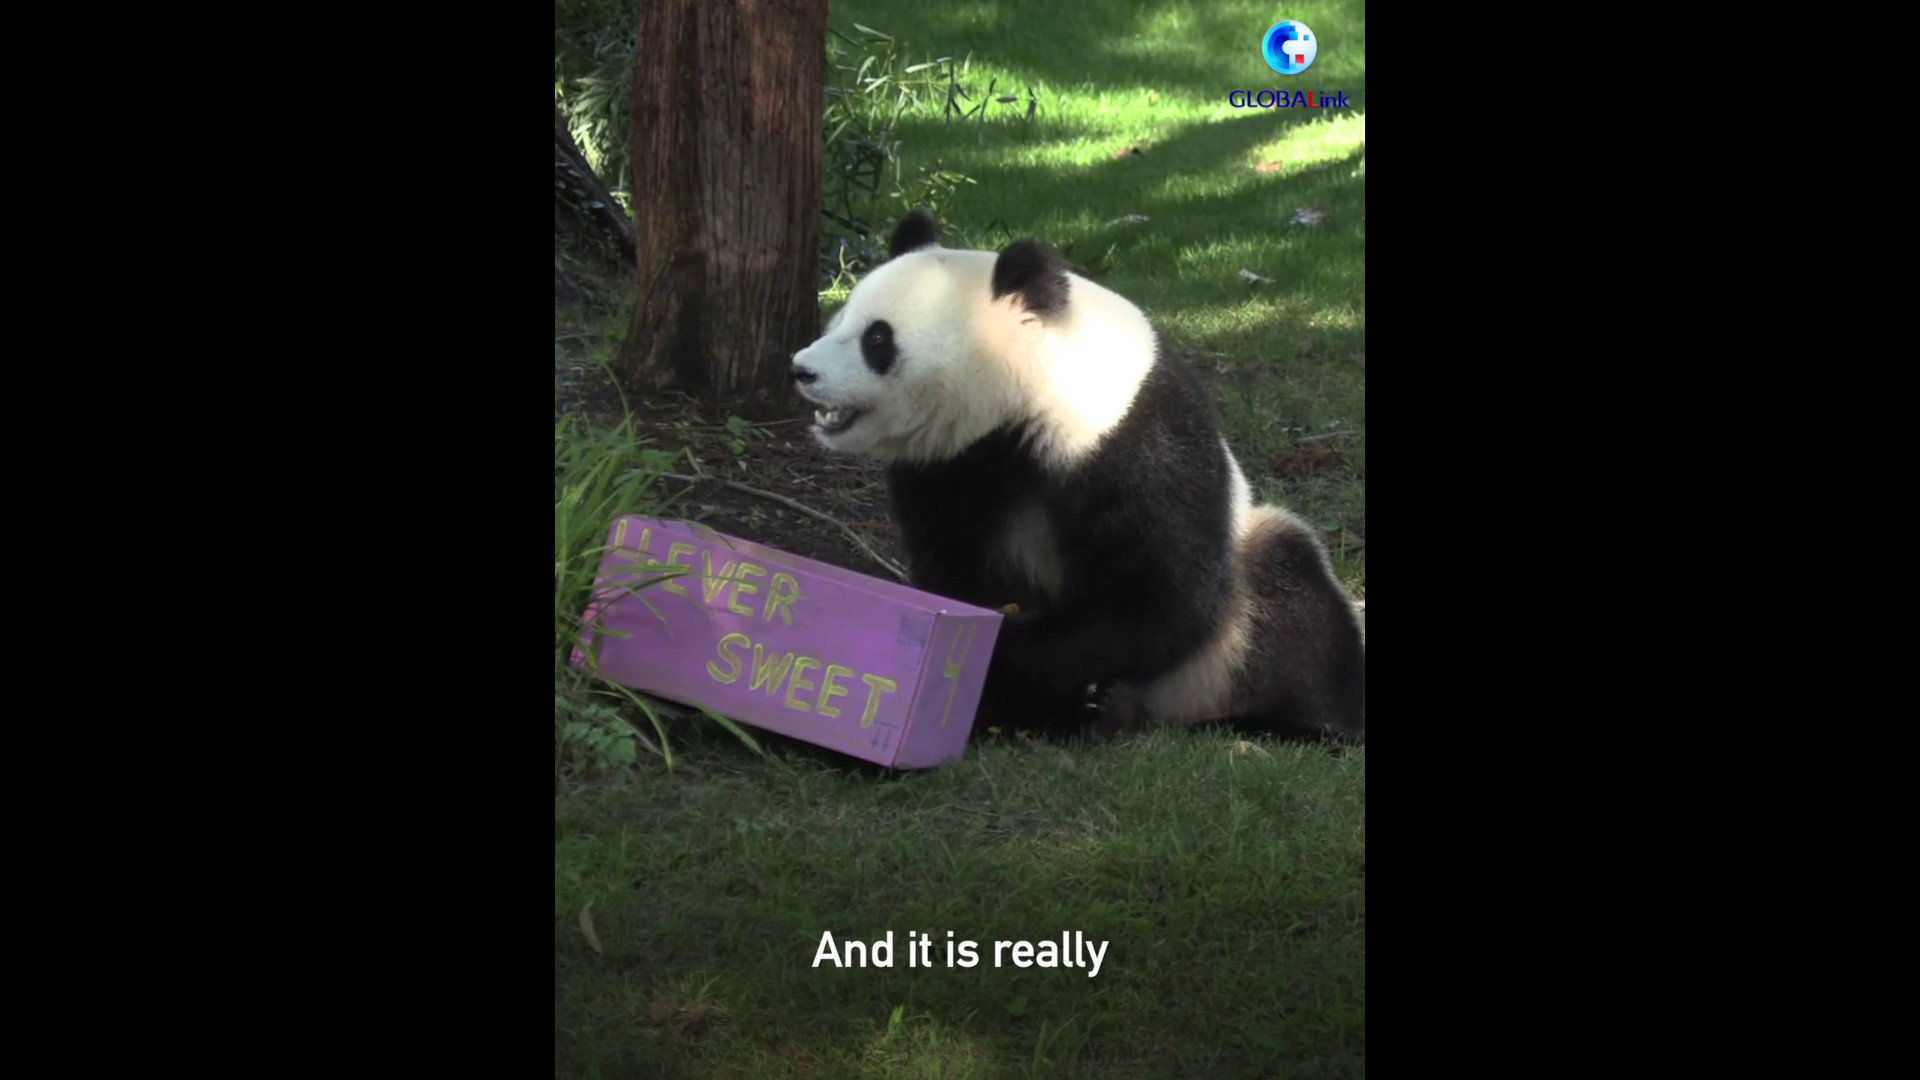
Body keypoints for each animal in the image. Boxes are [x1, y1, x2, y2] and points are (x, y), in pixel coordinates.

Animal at [789, 208, 1364, 741]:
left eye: (877, 339)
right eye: (840, 319)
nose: (801, 370)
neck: (1030, 392)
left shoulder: (1132, 433)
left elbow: (1162, 594)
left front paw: (1005, 661)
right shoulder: (945, 468)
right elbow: (954, 568)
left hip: (1227, 635)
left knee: (1292, 590)